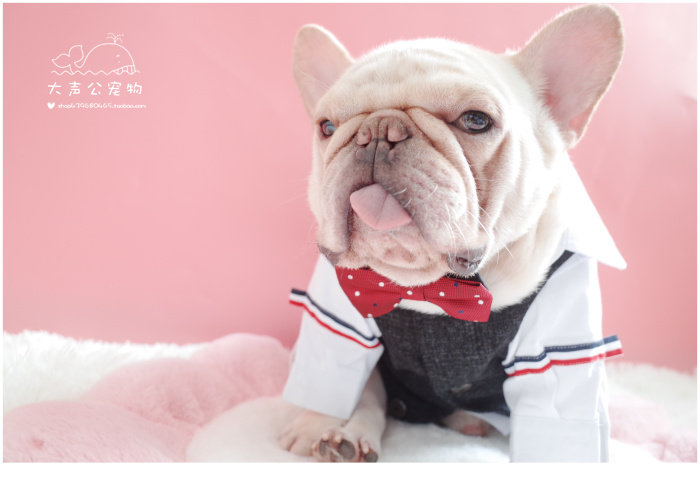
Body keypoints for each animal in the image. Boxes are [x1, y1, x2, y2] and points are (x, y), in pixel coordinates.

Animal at [279, 5, 626, 462]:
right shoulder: (335, 309)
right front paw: (315, 425)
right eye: (328, 127)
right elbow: (329, 371)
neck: (430, 286)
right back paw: (348, 440)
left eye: (476, 121)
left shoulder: (559, 345)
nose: (378, 130)